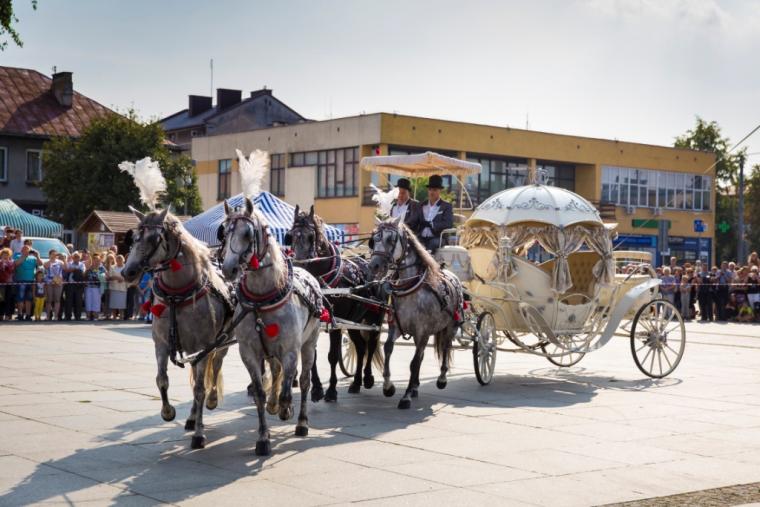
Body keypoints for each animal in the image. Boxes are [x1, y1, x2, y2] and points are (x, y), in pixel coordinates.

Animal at [122, 207, 232, 449]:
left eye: (154, 239)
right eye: (134, 238)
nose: (128, 271)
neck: (177, 295)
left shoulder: (204, 347)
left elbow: (200, 389)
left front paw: (199, 434)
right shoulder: (162, 344)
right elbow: (162, 379)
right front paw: (168, 412)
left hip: (223, 342)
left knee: (216, 366)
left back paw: (211, 401)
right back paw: (191, 417)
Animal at [220, 197, 323, 456]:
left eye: (247, 233)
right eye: (224, 233)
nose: (228, 269)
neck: (262, 298)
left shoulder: (290, 350)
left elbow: (289, 387)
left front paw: (286, 409)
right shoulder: (249, 353)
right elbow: (259, 393)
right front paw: (263, 437)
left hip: (309, 343)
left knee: (304, 380)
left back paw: (301, 422)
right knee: (277, 372)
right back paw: (274, 403)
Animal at [285, 205, 384, 402]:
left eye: (311, 236)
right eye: (291, 236)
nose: (300, 264)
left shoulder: (336, 322)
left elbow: (332, 356)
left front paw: (331, 390)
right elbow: (313, 356)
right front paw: (316, 389)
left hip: (375, 317)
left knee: (371, 343)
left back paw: (368, 378)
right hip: (354, 322)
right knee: (360, 346)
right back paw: (356, 382)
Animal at [367, 215, 463, 409]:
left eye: (391, 239)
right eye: (374, 240)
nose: (374, 266)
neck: (410, 287)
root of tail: (452, 275)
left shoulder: (422, 331)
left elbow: (413, 363)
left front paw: (405, 397)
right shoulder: (396, 327)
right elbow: (388, 349)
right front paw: (389, 387)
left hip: (451, 326)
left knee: (446, 347)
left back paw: (441, 378)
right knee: (422, 355)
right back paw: (415, 386)